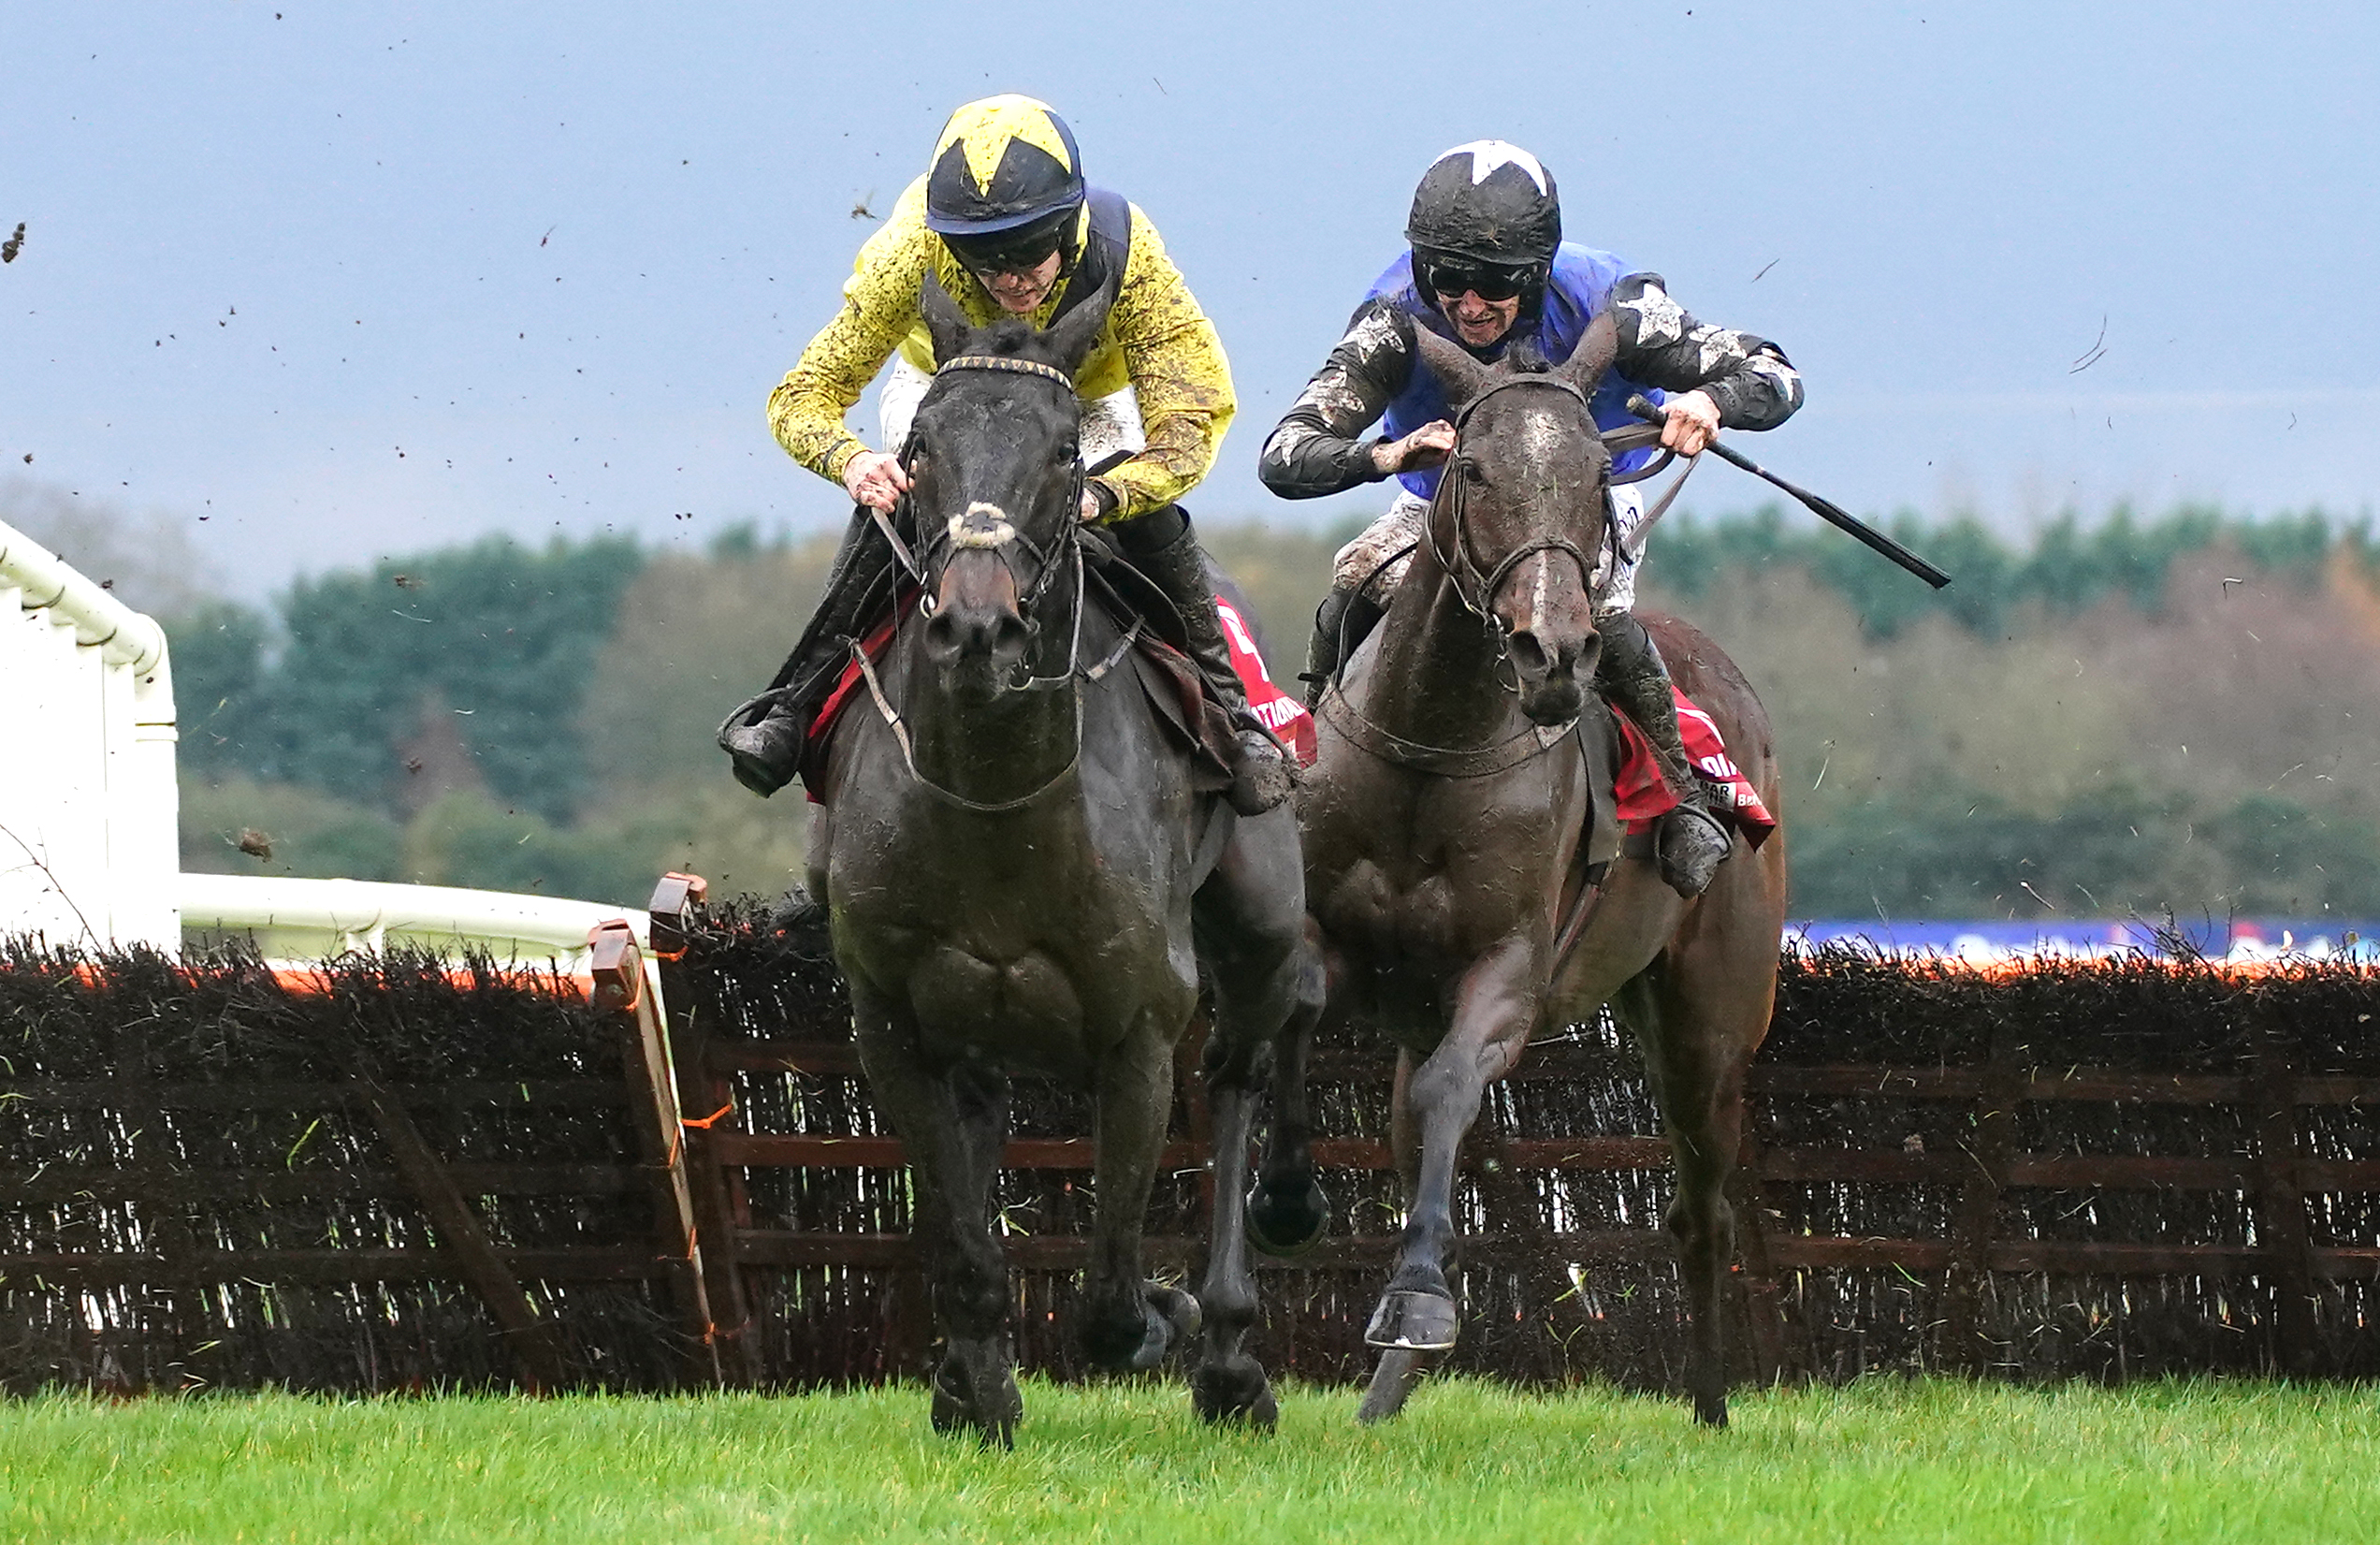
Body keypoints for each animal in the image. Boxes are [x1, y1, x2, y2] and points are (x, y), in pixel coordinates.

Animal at [799, 273, 1323, 1437]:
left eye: (1061, 456)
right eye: (920, 449)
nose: (977, 630)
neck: (1000, 796)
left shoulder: (1138, 1031)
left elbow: (1112, 1299)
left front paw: (1170, 1316)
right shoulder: (892, 1022)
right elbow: (966, 1243)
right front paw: (975, 1387)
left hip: (1260, 925)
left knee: (1243, 1068)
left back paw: (1231, 1350)